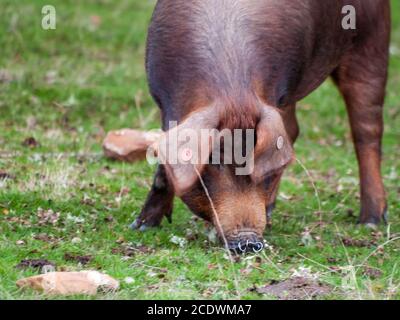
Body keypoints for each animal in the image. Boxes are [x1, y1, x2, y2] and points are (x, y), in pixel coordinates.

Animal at [131, 0, 390, 252]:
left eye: (264, 173)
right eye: (213, 161)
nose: (248, 242)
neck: (232, 89)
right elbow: (164, 167)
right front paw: (141, 227)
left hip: (371, 41)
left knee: (367, 128)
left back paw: (370, 221)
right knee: (293, 128)